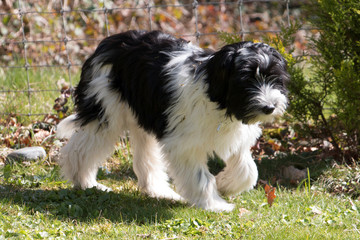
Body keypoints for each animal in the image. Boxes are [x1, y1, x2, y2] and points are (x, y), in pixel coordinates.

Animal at [57, 30, 290, 212]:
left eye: (274, 78)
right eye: (246, 80)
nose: (269, 107)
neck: (215, 96)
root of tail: (107, 43)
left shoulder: (234, 137)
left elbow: (248, 171)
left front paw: (224, 184)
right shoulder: (184, 145)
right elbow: (200, 177)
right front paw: (214, 204)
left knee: (145, 158)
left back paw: (158, 190)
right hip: (105, 111)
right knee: (79, 150)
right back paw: (85, 182)